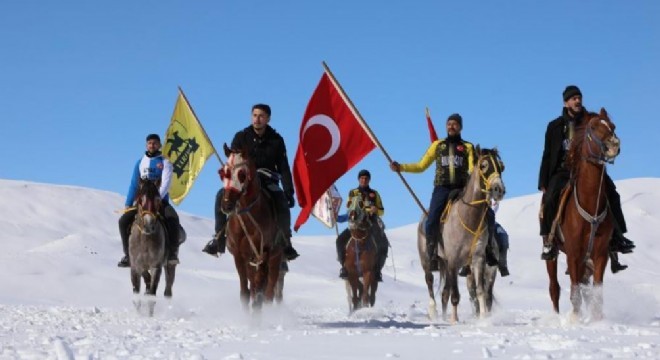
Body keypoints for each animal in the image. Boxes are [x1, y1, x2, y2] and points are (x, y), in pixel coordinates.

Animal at [220, 143, 284, 310]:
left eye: (242, 174)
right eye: (224, 172)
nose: (227, 205)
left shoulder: (264, 253)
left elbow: (260, 291)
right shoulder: (239, 255)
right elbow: (245, 291)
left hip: (275, 258)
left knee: (269, 291)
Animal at [438, 146, 506, 324]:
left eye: (501, 167)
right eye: (483, 166)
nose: (499, 190)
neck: (469, 219)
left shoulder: (479, 259)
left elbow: (480, 292)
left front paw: (483, 318)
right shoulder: (453, 261)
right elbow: (455, 294)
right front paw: (454, 320)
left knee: (484, 294)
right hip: (446, 264)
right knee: (447, 292)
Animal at [548, 107, 620, 320]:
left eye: (612, 126)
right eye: (593, 127)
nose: (614, 144)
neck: (590, 204)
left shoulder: (600, 254)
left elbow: (596, 292)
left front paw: (597, 320)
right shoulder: (573, 253)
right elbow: (574, 292)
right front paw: (575, 320)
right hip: (553, 255)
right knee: (554, 288)